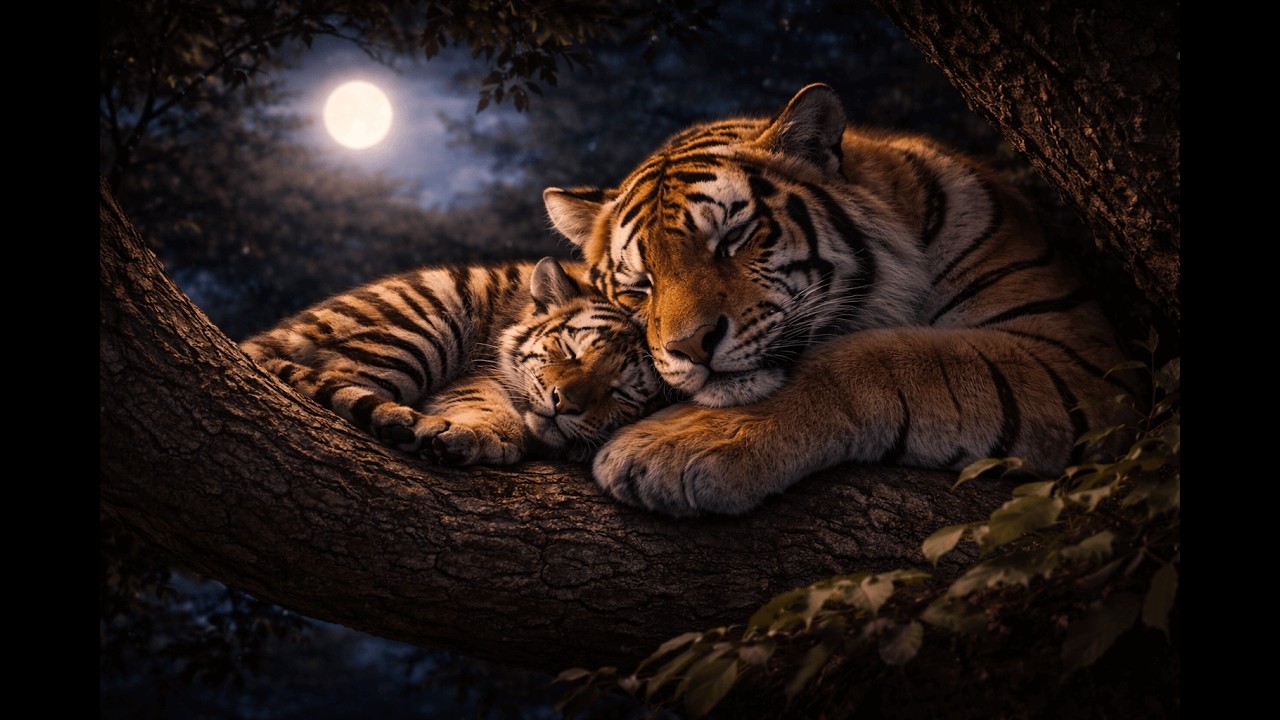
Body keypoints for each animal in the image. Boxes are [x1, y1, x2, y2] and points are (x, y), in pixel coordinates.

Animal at [239, 256, 669, 465]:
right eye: (569, 350)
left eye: (620, 393)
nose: (565, 404)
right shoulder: (481, 372)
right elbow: (487, 405)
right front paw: (486, 436)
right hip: (426, 326)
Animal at [542, 82, 1141, 517]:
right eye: (639, 286)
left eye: (733, 238)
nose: (690, 347)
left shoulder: (1075, 358)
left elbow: (892, 357)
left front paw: (666, 447)